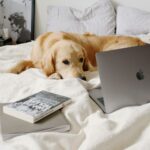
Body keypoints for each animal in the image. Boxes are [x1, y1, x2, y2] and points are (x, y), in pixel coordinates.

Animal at [9, 32, 145, 80]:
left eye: (81, 60)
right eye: (65, 61)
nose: (82, 78)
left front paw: (54, 75)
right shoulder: (35, 59)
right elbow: (23, 61)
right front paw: (10, 70)